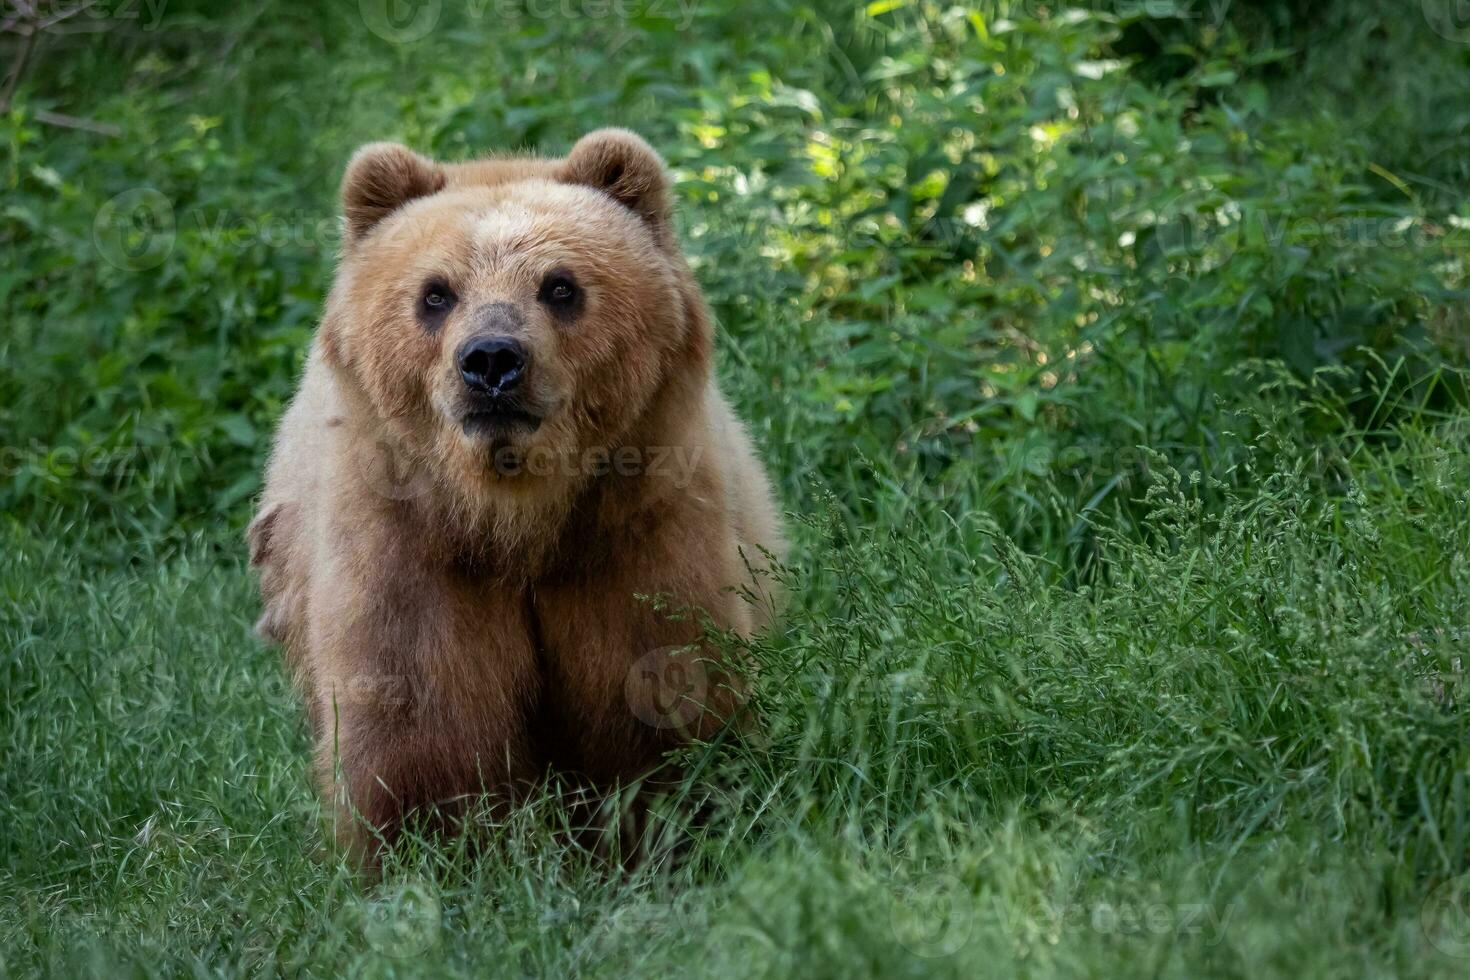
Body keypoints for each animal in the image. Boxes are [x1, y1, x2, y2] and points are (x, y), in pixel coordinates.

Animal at [246, 126, 787, 863]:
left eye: (560, 286)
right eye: (436, 293)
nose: (492, 360)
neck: (516, 519)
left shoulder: (633, 527)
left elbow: (658, 678)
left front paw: (674, 828)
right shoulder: (410, 543)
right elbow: (421, 719)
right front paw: (436, 853)